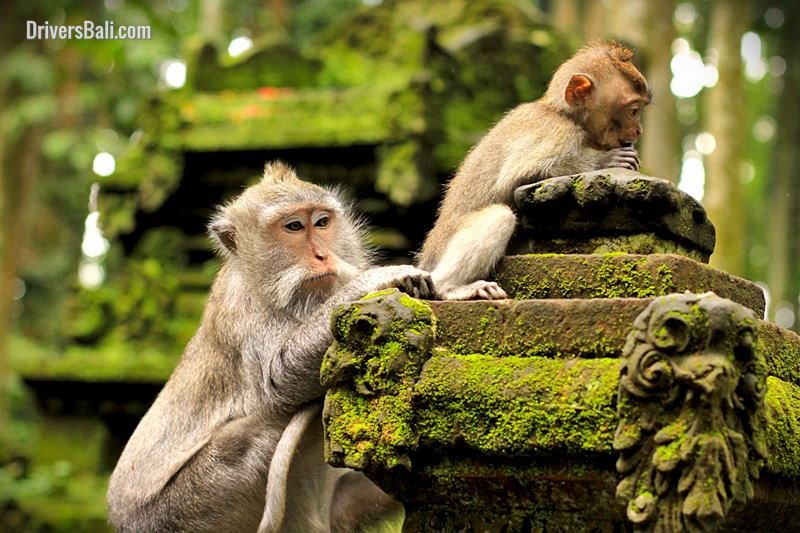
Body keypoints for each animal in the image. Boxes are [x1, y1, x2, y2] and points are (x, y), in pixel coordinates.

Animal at [106, 161, 433, 532]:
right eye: (293, 227)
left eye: (322, 222)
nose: (323, 255)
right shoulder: (241, 308)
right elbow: (278, 380)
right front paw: (375, 279)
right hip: (183, 509)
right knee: (252, 434)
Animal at [418, 40, 650, 300]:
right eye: (633, 110)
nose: (638, 130)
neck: (562, 113)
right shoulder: (559, 132)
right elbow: (516, 177)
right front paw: (606, 161)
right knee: (499, 216)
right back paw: (449, 287)